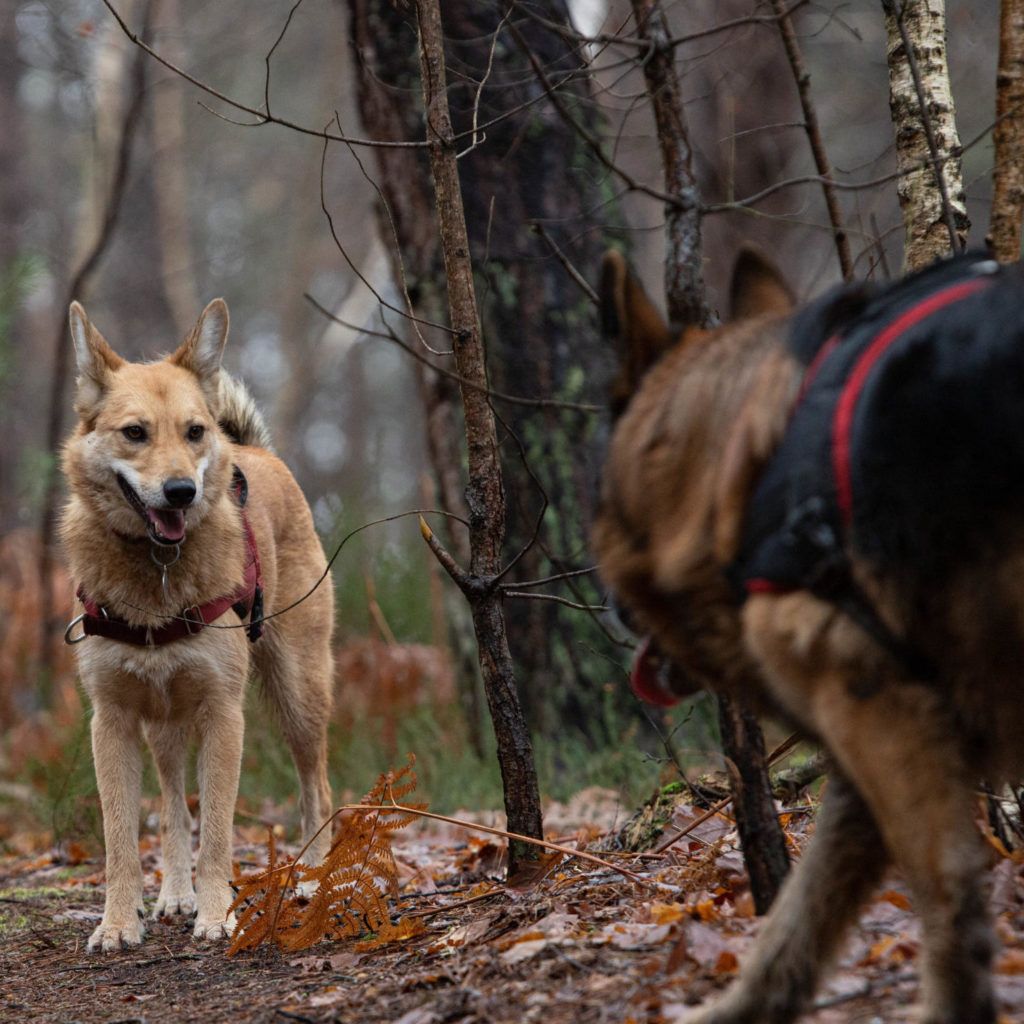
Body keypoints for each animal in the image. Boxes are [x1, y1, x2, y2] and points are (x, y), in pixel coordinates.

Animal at [61, 301, 333, 950]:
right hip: (164, 725)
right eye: (135, 433)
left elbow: (216, 833)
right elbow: (124, 839)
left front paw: (216, 916)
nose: (181, 491)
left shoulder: (223, 716)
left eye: (194, 432)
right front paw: (119, 922)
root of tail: (257, 453)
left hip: (300, 697)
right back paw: (174, 894)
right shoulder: (112, 722)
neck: (156, 574)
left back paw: (314, 878)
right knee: (172, 805)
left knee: (317, 788)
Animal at [593, 247, 1024, 1024]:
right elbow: (799, 916)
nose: (609, 606)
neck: (744, 453)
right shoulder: (874, 740)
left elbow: (946, 897)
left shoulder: (873, 710)